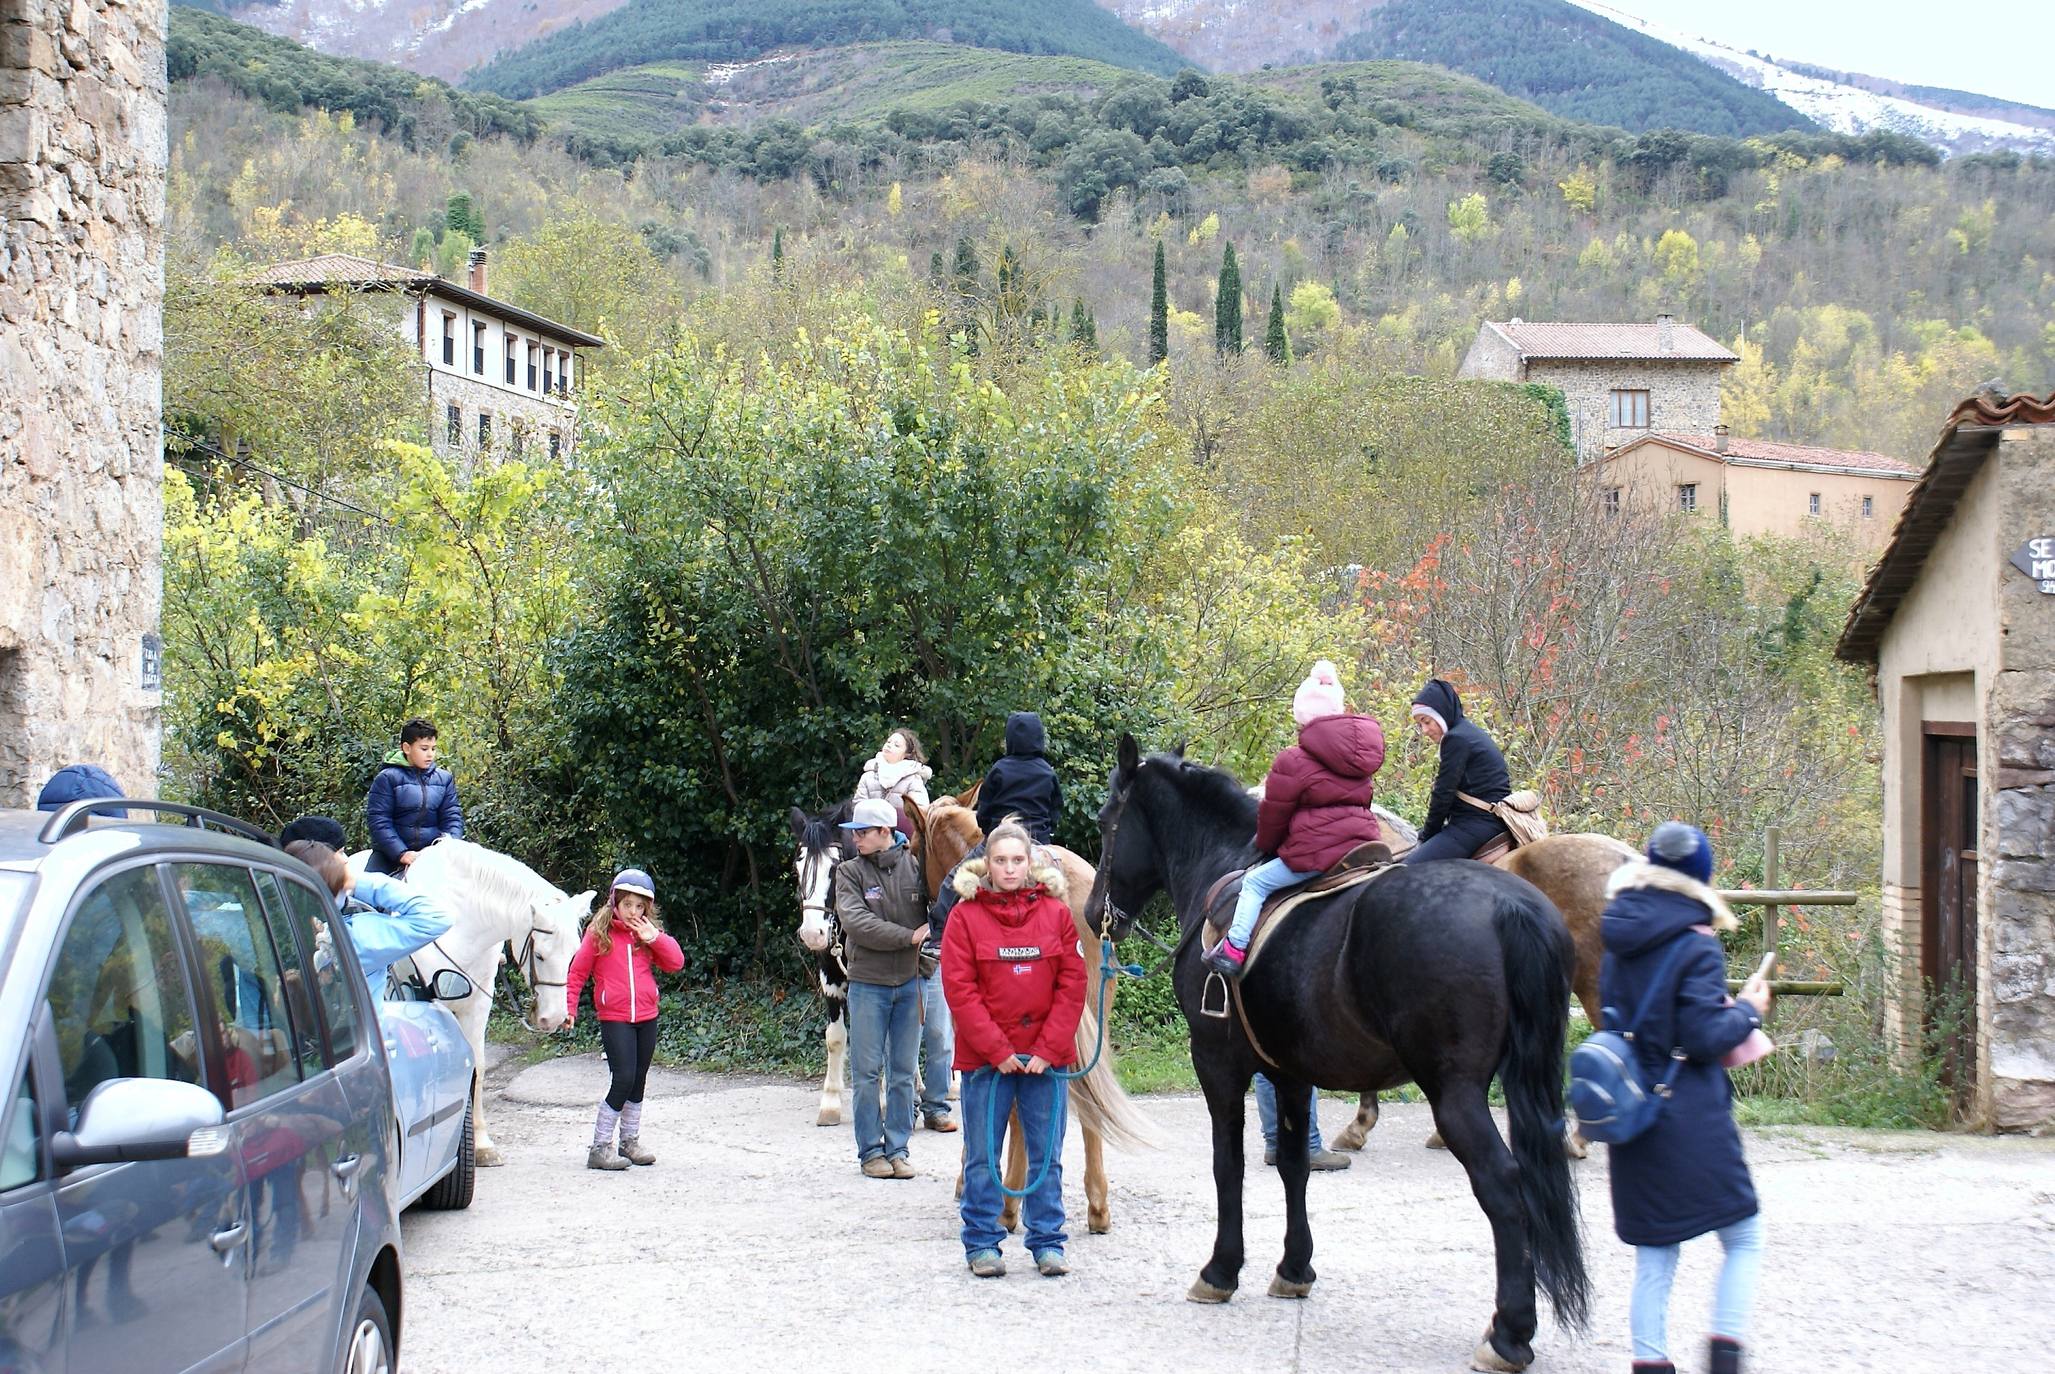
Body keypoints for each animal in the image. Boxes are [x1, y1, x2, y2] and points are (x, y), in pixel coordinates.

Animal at [351, 842, 595, 1166]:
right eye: (540, 955)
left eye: (574, 953)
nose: (554, 1019)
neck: (461, 921)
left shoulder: (478, 1004)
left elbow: (477, 1065)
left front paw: (481, 1144)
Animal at [1093, 739, 1586, 1371]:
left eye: (1107, 821)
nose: (1094, 912)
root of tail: (1508, 905)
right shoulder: (1289, 1073)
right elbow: (1294, 1166)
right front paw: (1294, 1267)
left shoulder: (1218, 1066)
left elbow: (1229, 1166)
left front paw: (1222, 1270)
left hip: (1454, 1094)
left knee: (1503, 1184)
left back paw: (1510, 1332)